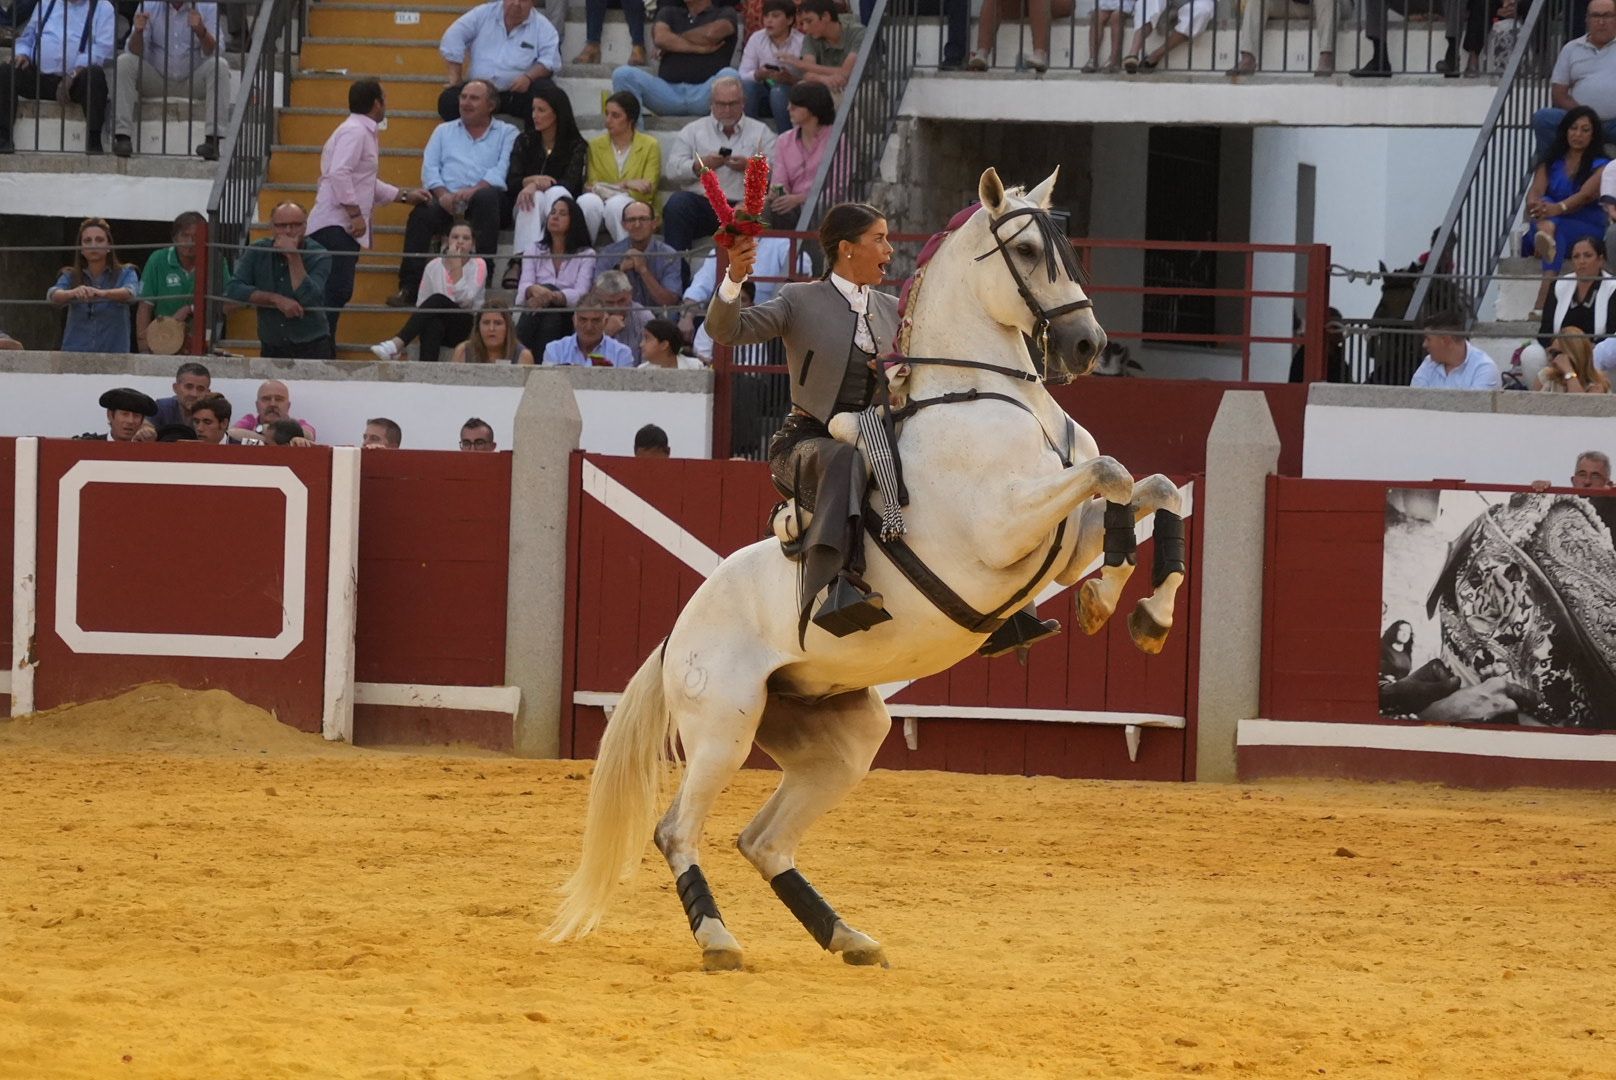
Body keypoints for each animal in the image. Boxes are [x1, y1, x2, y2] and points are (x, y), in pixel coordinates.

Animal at [555, 166, 1189, 970]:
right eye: (1024, 250)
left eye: (1068, 247)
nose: (1086, 343)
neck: (988, 393)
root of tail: (676, 634)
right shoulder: (1001, 528)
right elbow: (1112, 474)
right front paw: (1119, 603)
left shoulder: (1061, 536)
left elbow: (1149, 487)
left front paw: (1133, 612)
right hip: (723, 728)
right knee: (677, 830)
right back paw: (720, 940)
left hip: (844, 740)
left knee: (762, 840)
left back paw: (845, 935)